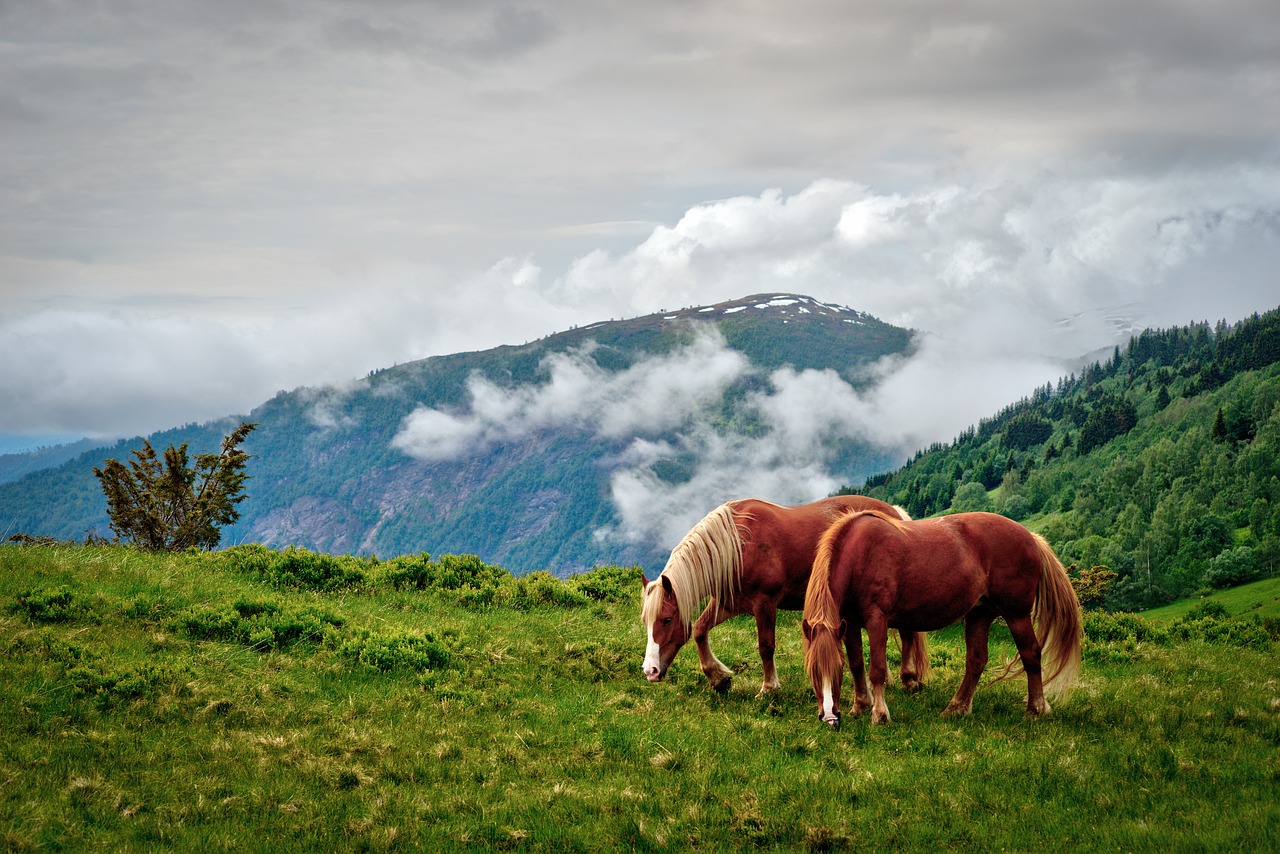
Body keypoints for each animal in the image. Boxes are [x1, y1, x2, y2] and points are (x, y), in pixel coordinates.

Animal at [640, 496, 931, 696]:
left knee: (907, 634)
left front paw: (769, 687)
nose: (650, 671)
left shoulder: (765, 604)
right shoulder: (728, 604)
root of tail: (894, 512)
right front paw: (718, 678)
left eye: (666, 619)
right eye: (646, 621)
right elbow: (700, 630)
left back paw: (909, 678)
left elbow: (766, 646)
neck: (736, 545)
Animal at [798, 512, 1080, 732]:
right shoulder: (850, 624)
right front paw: (860, 706)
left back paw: (1035, 708)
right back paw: (957, 707)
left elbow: (876, 669)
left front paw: (879, 714)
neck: (859, 554)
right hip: (980, 613)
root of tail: (1031, 537)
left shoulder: (876, 620)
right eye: (813, 671)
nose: (830, 718)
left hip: (1016, 614)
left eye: (834, 671)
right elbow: (857, 664)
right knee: (976, 660)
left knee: (1030, 653)